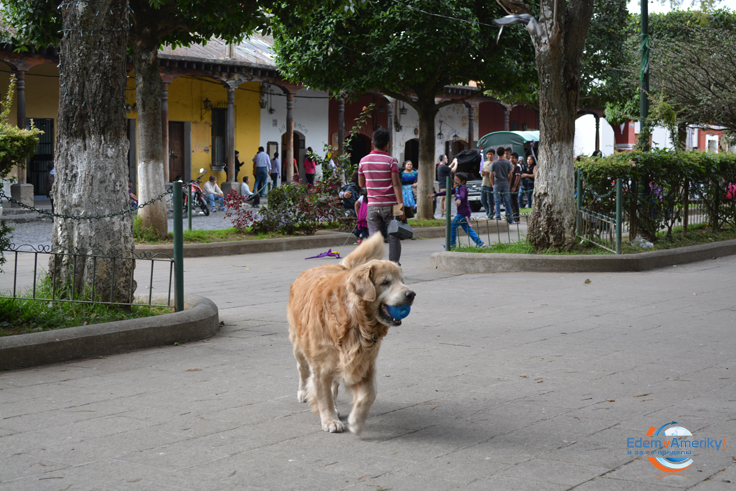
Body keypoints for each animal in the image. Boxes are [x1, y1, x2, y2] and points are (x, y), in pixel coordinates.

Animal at [286, 233, 414, 436]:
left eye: (402, 281)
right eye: (385, 282)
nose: (411, 294)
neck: (354, 319)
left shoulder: (364, 362)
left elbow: (369, 393)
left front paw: (356, 420)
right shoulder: (321, 365)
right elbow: (323, 395)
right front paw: (330, 420)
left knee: (334, 385)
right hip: (298, 344)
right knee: (302, 369)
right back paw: (303, 392)